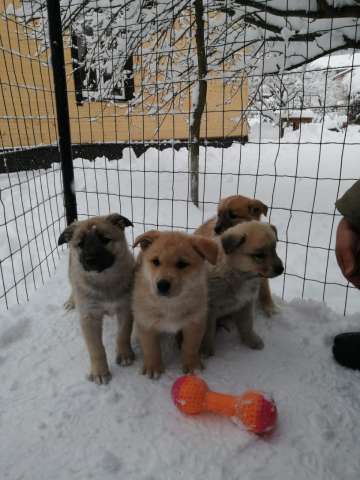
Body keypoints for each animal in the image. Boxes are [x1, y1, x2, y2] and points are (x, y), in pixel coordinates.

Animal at [59, 212, 135, 384]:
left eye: (105, 239)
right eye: (80, 244)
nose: (90, 260)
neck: (104, 281)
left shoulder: (125, 309)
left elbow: (123, 334)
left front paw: (124, 355)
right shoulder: (89, 316)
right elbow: (96, 348)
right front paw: (100, 372)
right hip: (71, 271)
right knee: (73, 284)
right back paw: (71, 302)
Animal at [131, 230, 217, 378]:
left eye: (182, 264)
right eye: (156, 261)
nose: (162, 285)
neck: (170, 304)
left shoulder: (195, 322)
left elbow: (191, 347)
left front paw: (192, 365)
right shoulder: (146, 323)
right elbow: (151, 348)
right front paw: (153, 367)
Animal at [202, 221, 284, 356]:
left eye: (274, 249)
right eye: (259, 255)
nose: (281, 269)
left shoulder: (246, 303)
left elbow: (247, 324)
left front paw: (252, 340)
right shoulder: (209, 308)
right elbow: (207, 333)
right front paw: (206, 353)